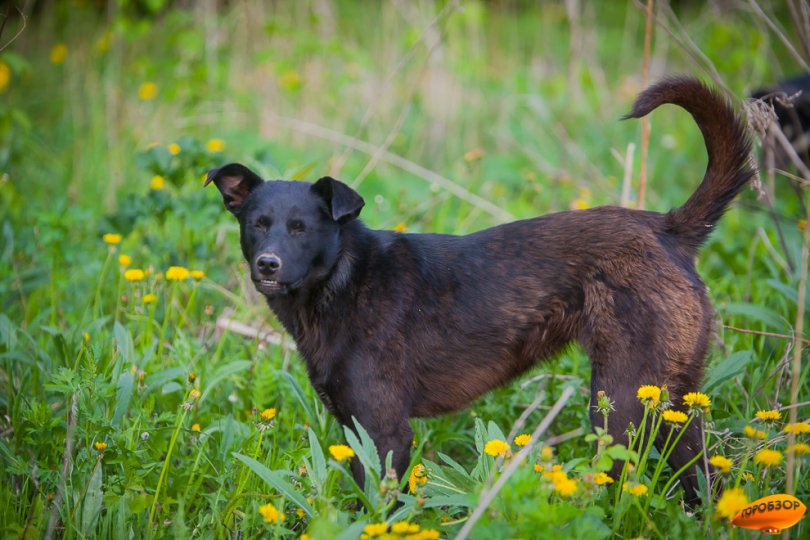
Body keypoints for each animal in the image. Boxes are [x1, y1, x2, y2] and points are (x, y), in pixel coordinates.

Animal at [207, 77, 752, 506]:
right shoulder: (354, 429)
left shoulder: (384, 430)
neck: (343, 281)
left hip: (621, 403)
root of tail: (669, 228)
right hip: (674, 402)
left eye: (301, 228)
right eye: (257, 225)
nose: (268, 264)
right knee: (702, 479)